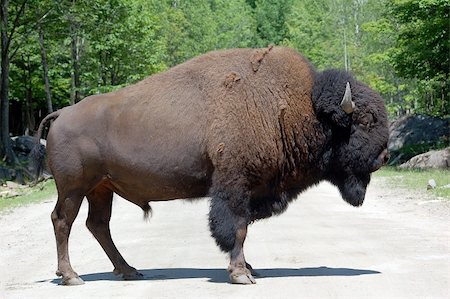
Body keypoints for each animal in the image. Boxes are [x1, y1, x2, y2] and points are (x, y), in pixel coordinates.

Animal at [33, 46, 388, 286]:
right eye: (364, 121)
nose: (384, 157)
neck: (294, 107)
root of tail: (62, 114)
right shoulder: (235, 185)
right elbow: (237, 228)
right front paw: (242, 275)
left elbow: (241, 230)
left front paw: (249, 268)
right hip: (74, 188)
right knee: (63, 221)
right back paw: (72, 276)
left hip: (101, 189)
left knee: (98, 225)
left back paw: (128, 270)